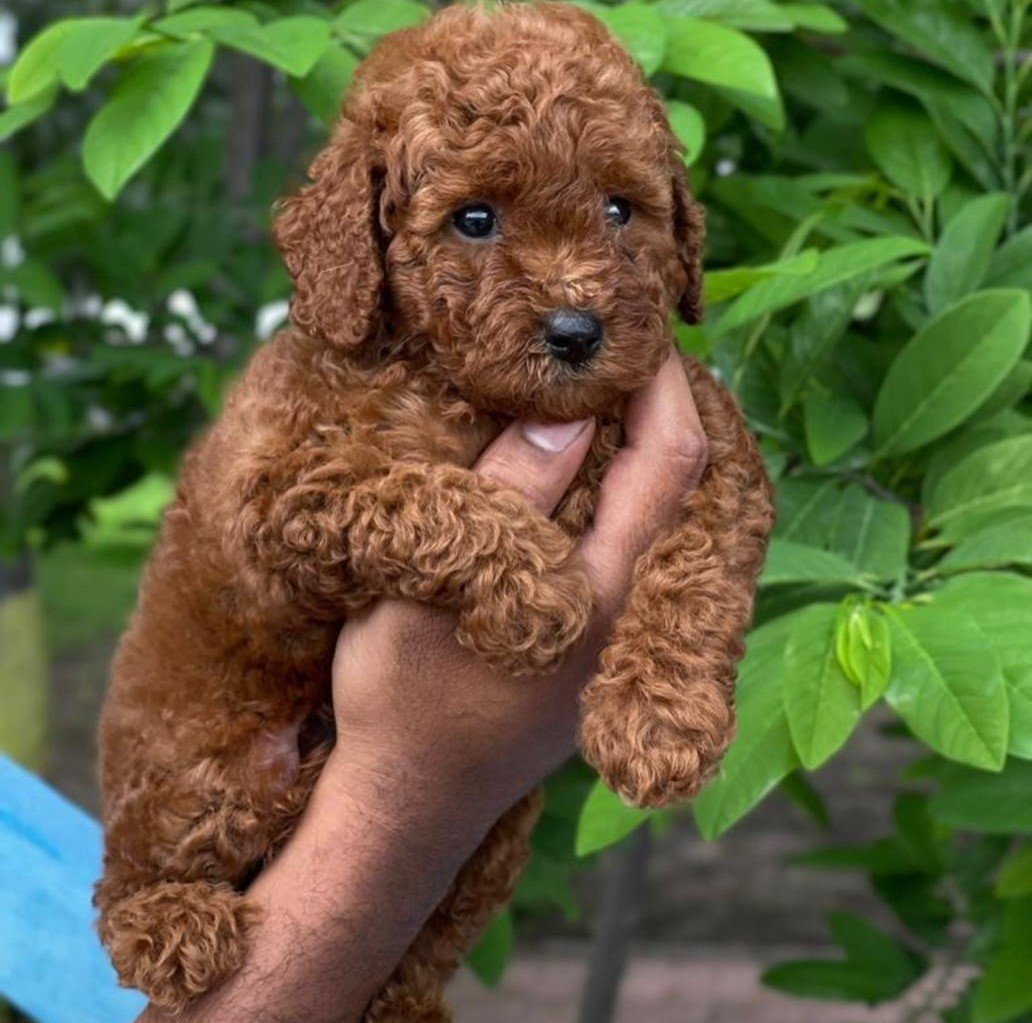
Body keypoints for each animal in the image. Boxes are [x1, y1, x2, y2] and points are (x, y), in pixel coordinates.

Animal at [97, 4, 776, 1015]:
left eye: (622, 208)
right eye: (475, 220)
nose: (578, 333)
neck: (476, 389)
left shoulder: (713, 437)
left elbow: (702, 569)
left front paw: (659, 723)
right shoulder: (286, 494)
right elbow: (422, 494)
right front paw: (537, 585)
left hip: (489, 841)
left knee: (419, 938)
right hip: (203, 776)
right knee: (126, 880)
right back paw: (174, 924)